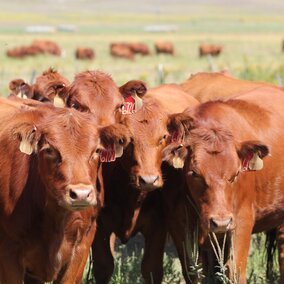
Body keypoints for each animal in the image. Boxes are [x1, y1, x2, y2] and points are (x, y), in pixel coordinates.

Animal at [163, 87, 284, 282]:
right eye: (194, 173)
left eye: (235, 175)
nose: (220, 222)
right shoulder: (178, 224)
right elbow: (192, 270)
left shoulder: (241, 220)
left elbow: (234, 270)